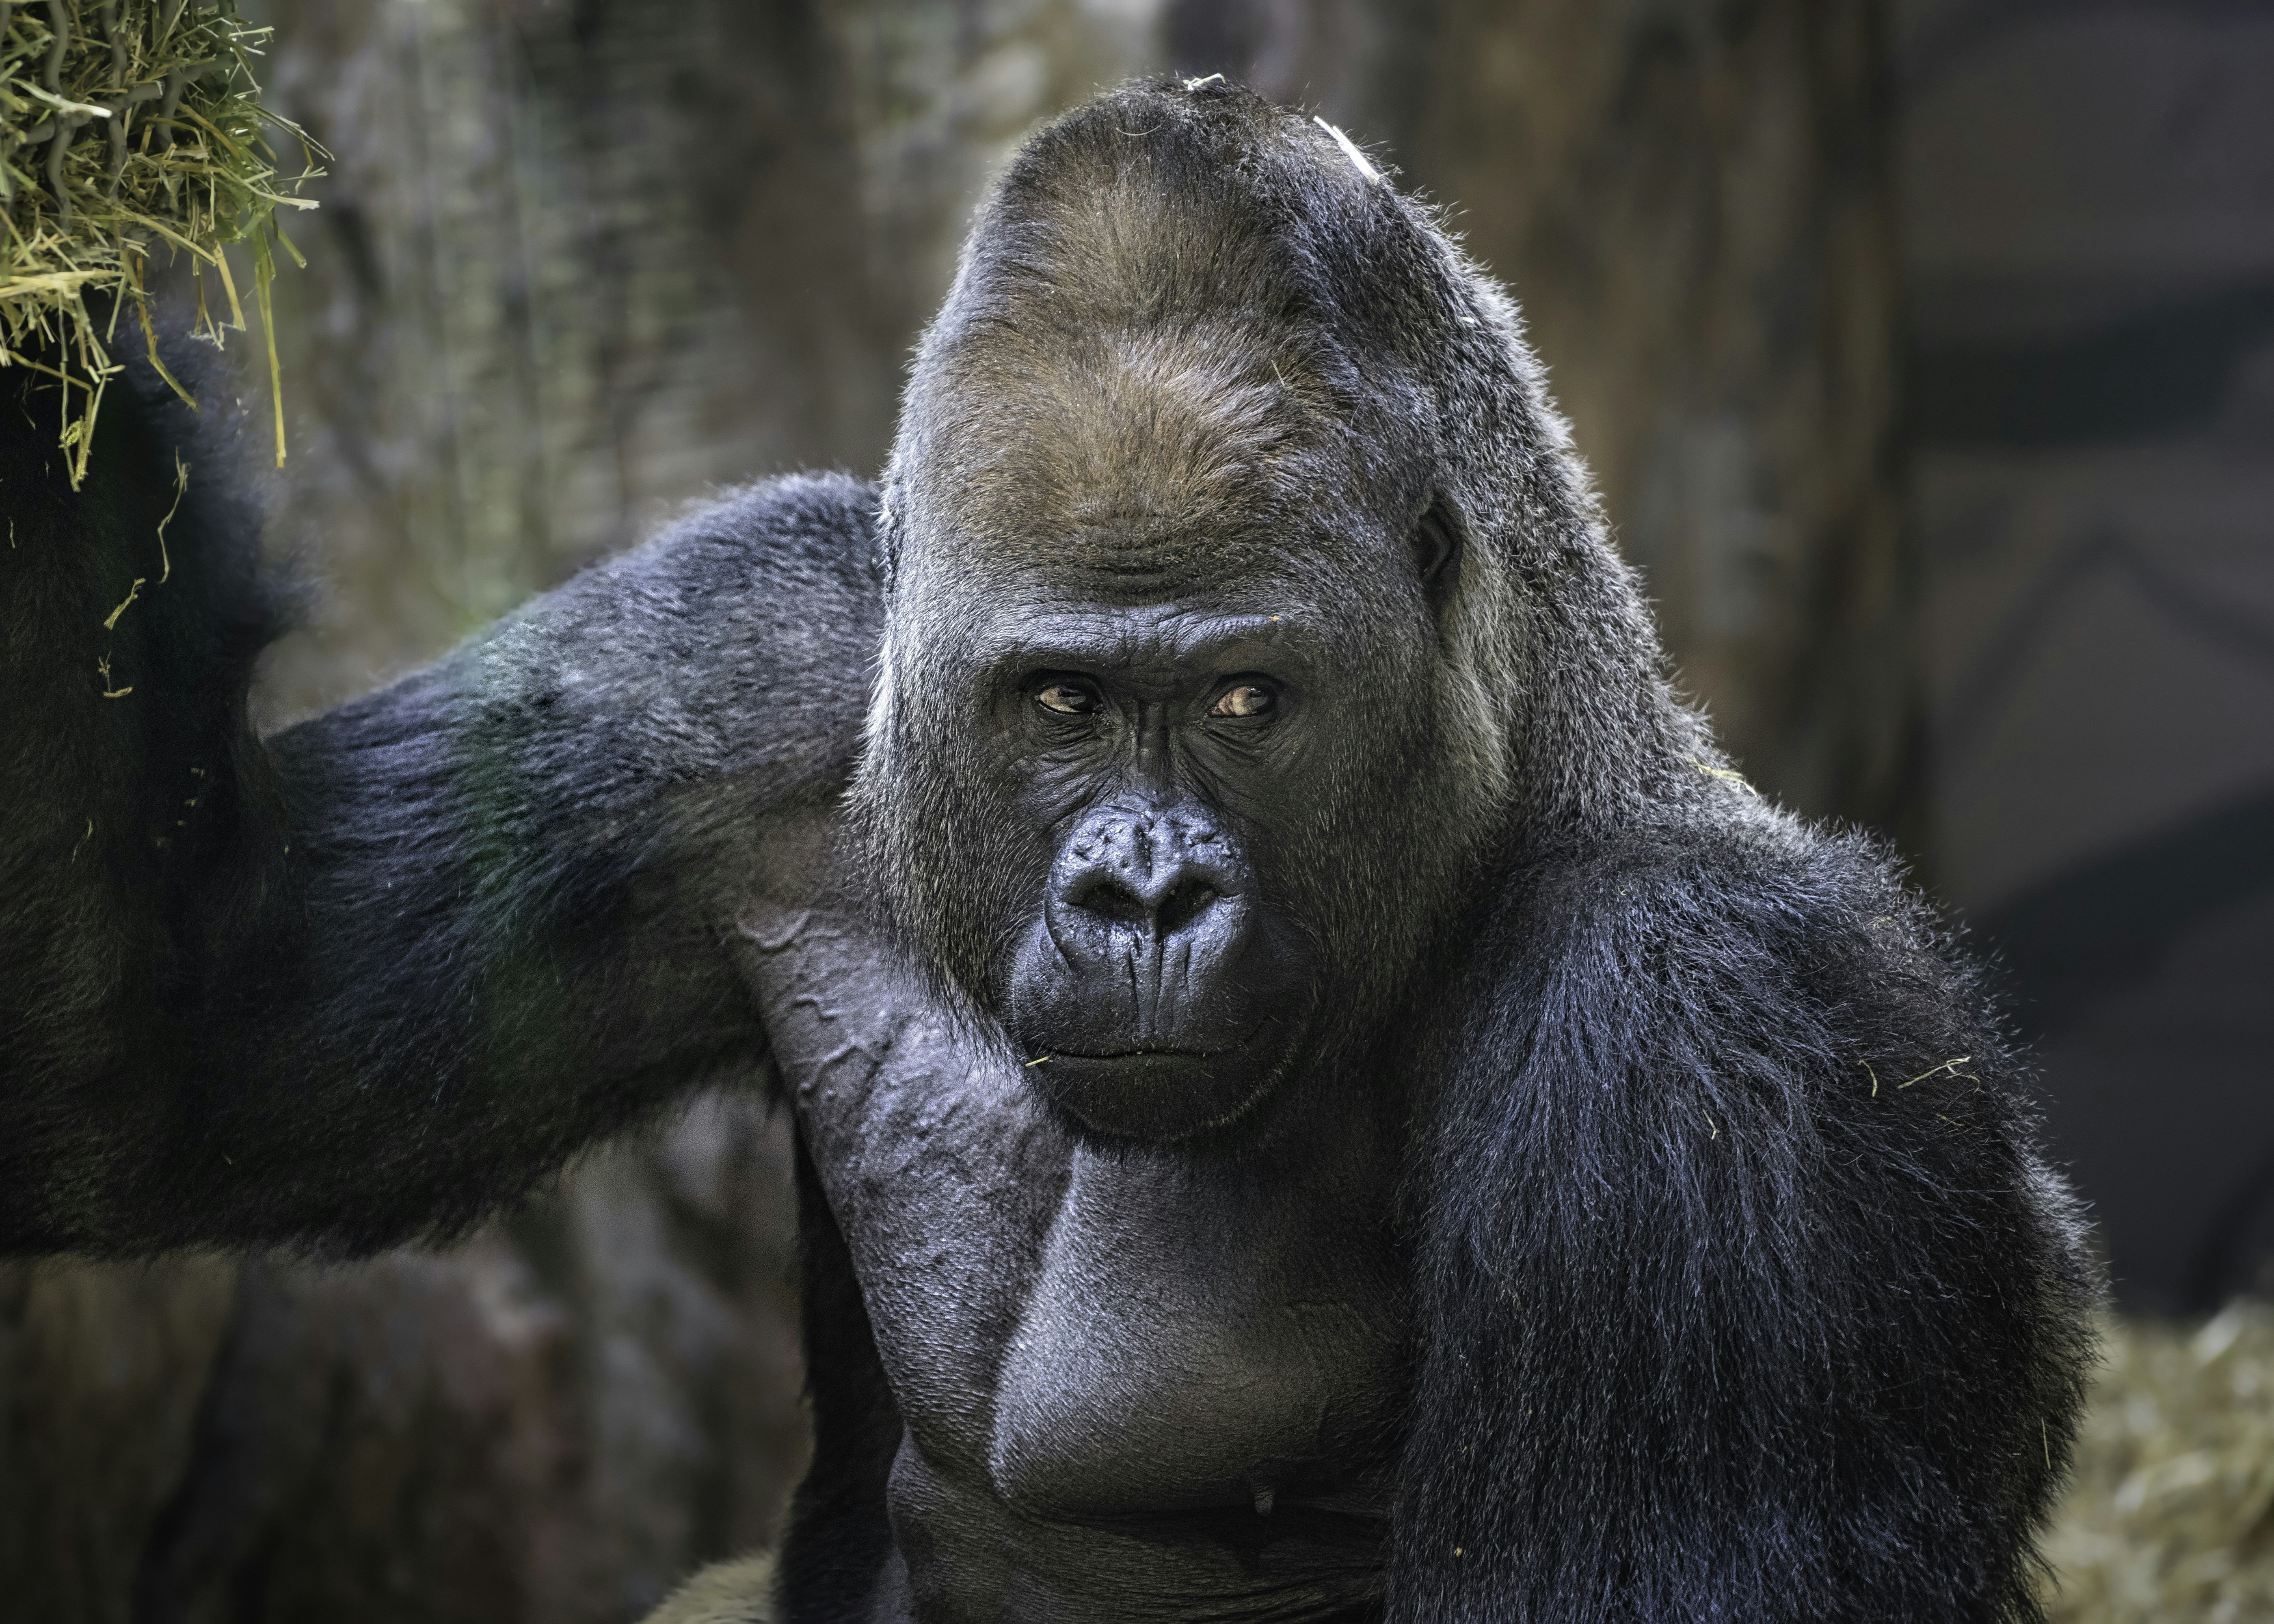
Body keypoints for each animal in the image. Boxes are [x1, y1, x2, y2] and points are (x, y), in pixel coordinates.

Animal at [0, 80, 2096, 1621]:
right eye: (1062, 701)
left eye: (1249, 697)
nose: (1139, 889)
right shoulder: (762, 644)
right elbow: (169, 1036)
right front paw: (53, 248)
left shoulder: (1711, 1027)